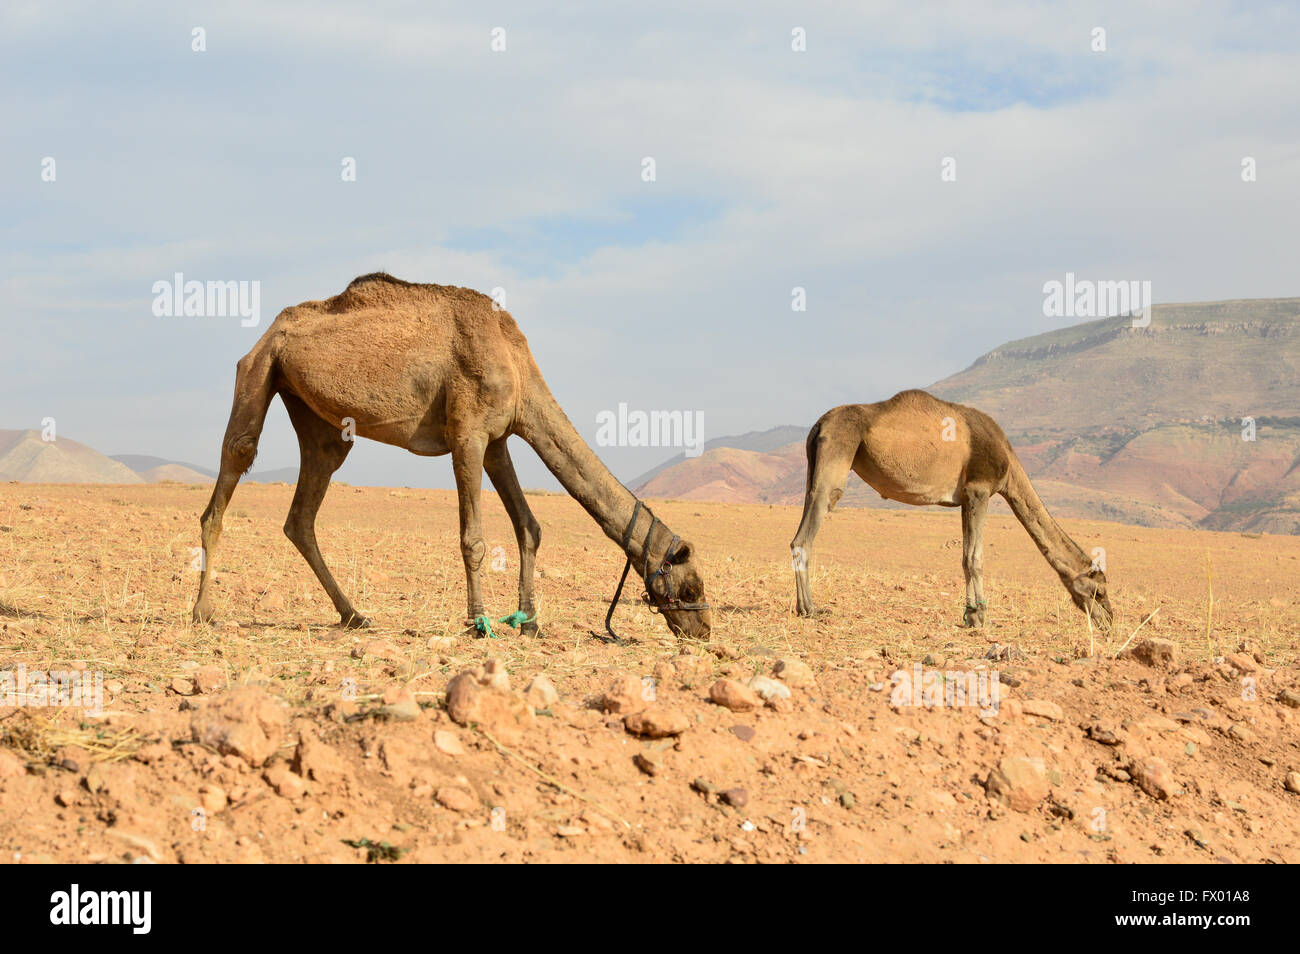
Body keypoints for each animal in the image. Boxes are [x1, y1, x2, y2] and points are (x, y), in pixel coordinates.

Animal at [192, 272, 712, 639]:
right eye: (691, 585)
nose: (704, 629)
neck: (516, 363)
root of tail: (271, 330)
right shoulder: (468, 432)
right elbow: (473, 538)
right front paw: (478, 622)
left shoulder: (498, 438)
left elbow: (529, 526)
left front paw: (529, 622)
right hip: (259, 368)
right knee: (233, 464)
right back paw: (202, 611)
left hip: (317, 418)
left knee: (304, 508)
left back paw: (354, 615)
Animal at [790, 392, 1118, 631]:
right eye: (1099, 591)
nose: (1110, 620)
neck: (1009, 466)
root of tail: (818, 426)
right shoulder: (979, 489)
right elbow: (975, 558)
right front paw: (981, 618)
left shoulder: (965, 498)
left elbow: (964, 557)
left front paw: (970, 615)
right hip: (836, 457)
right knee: (806, 535)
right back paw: (811, 609)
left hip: (812, 466)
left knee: (800, 529)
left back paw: (803, 606)